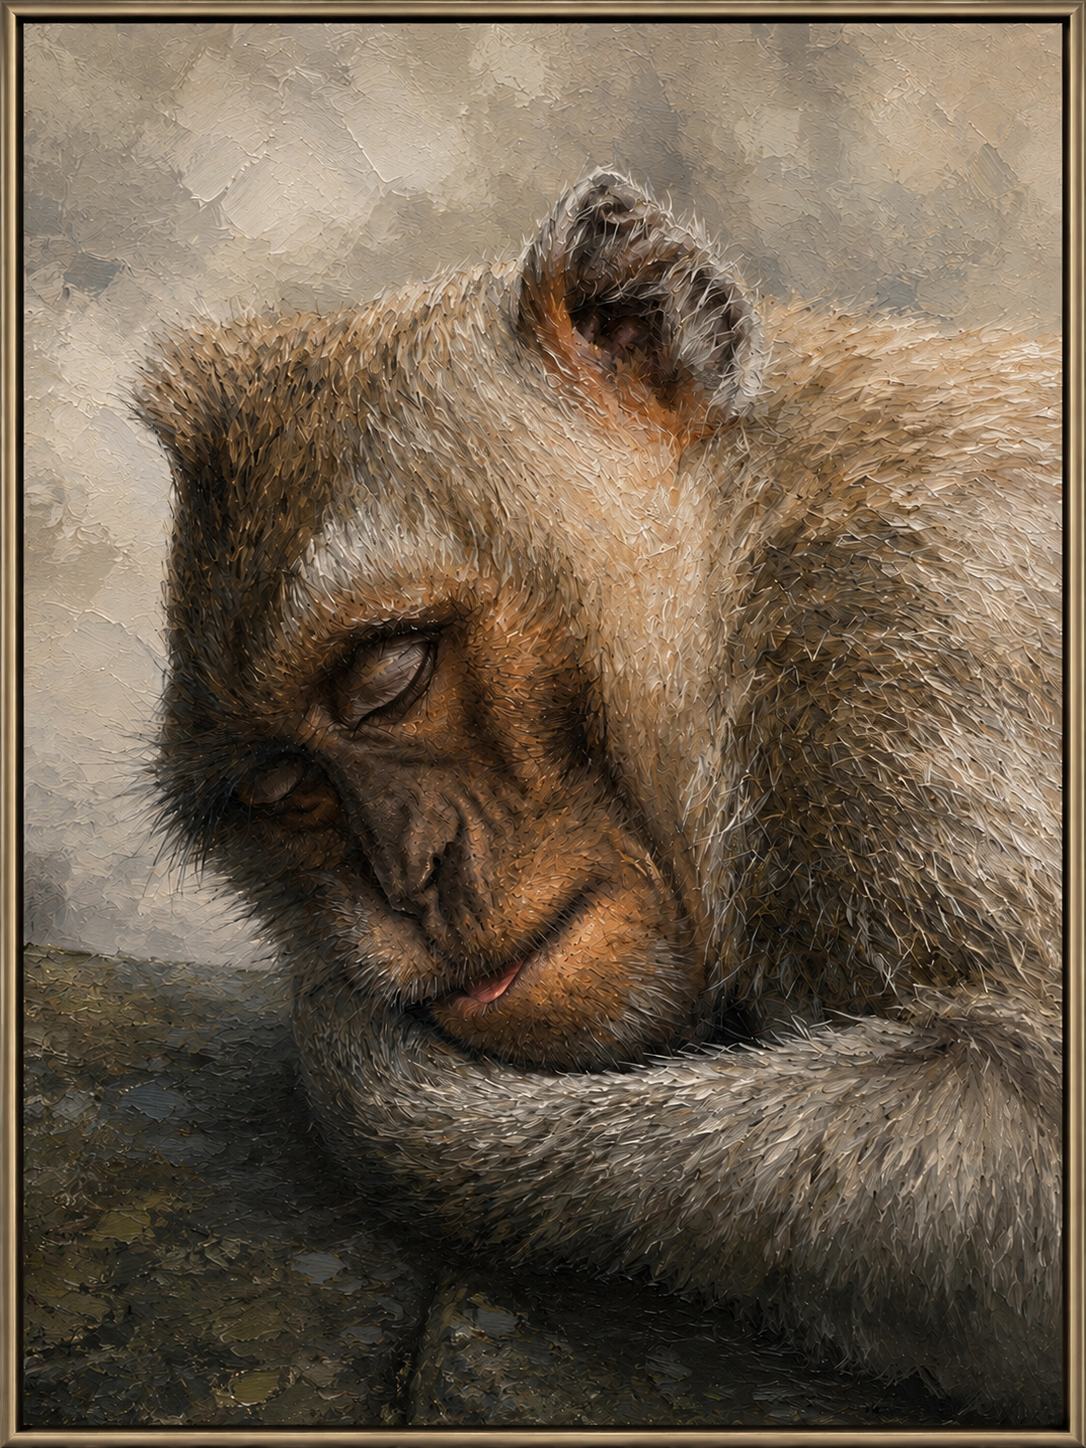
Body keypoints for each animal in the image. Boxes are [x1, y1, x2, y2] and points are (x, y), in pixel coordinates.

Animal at [136, 173, 1062, 1424]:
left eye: (390, 675)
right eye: (286, 787)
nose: (409, 876)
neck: (746, 550)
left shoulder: (914, 623)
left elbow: (1030, 1131)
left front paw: (361, 1073)